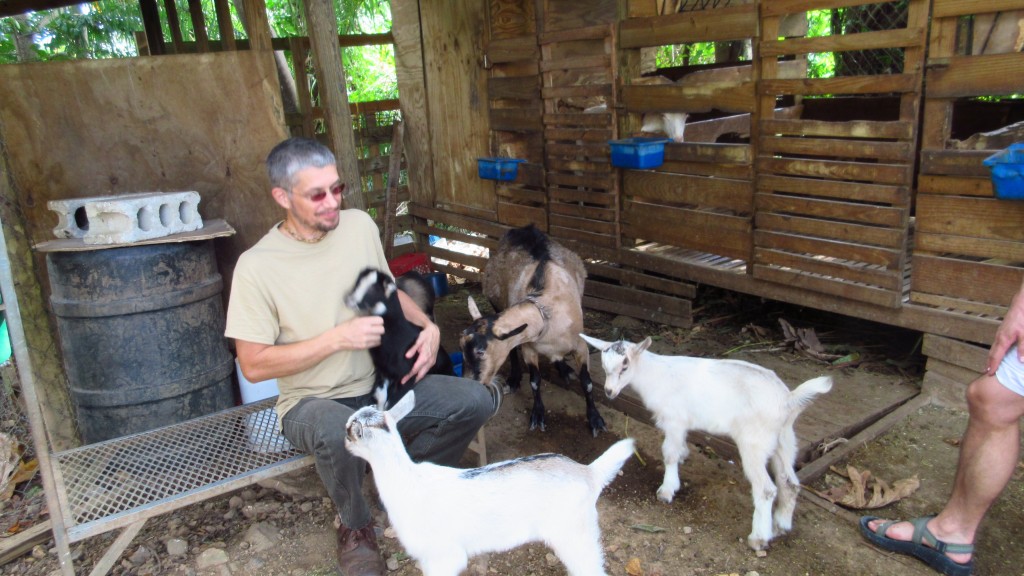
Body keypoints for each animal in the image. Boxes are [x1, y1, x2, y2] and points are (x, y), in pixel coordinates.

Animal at [344, 389, 630, 573]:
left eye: (349, 431)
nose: (343, 440)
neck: (408, 481)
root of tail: (589, 471)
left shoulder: (444, 556)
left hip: (575, 535)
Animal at [346, 266, 454, 405]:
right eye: (357, 283)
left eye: (373, 290)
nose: (347, 299)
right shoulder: (383, 372)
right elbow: (380, 397)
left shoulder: (409, 375)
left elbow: (393, 402)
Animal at [458, 224, 606, 434]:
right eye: (461, 348)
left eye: (480, 351)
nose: (472, 385)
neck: (544, 313)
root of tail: (524, 228)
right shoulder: (528, 347)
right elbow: (535, 382)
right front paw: (537, 415)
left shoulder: (580, 345)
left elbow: (587, 383)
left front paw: (595, 419)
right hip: (498, 302)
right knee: (512, 351)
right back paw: (514, 379)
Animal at [577, 334, 831, 549]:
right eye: (604, 367)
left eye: (625, 365)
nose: (609, 391)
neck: (656, 374)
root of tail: (788, 400)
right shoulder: (681, 424)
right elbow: (679, 448)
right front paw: (682, 459)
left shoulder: (674, 420)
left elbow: (669, 452)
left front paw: (667, 490)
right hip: (785, 439)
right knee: (790, 482)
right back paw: (780, 526)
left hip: (755, 443)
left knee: (767, 489)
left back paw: (759, 538)